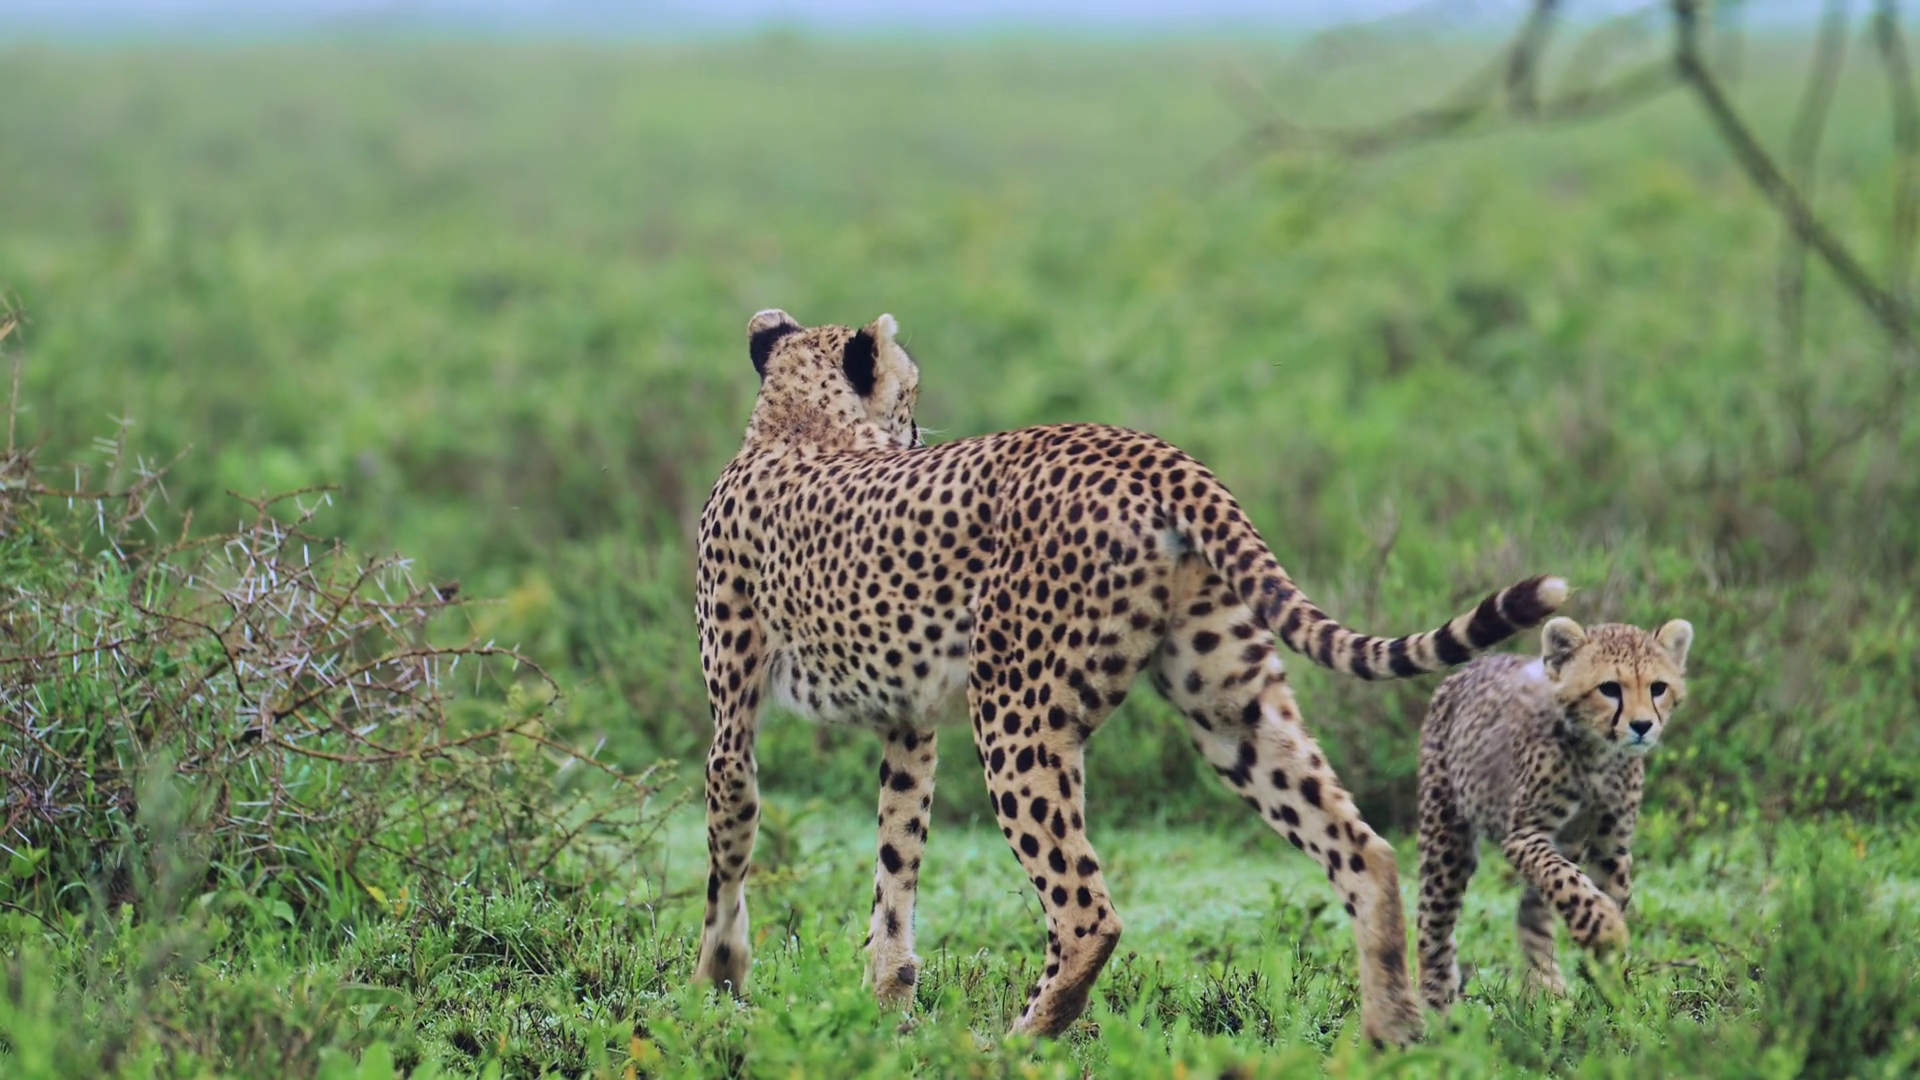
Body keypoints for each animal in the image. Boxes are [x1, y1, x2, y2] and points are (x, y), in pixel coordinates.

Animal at [691, 308, 1571, 1046]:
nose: (913, 429)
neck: (797, 421)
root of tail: (1146, 449)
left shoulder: (735, 715)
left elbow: (730, 841)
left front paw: (717, 983)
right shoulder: (908, 726)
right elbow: (894, 861)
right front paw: (883, 1002)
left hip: (1014, 709)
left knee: (1088, 913)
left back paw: (1021, 1041)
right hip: (1227, 705)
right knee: (1365, 851)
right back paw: (1391, 1032)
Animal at [1412, 615, 1694, 1012]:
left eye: (1658, 688)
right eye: (1609, 688)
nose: (1642, 726)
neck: (1597, 752)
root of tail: (1472, 665)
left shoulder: (1612, 845)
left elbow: (1596, 891)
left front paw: (1611, 986)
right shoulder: (1525, 834)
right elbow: (1573, 886)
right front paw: (1606, 932)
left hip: (1567, 844)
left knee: (1530, 911)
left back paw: (1545, 992)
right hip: (1447, 836)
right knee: (1432, 919)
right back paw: (1436, 1005)